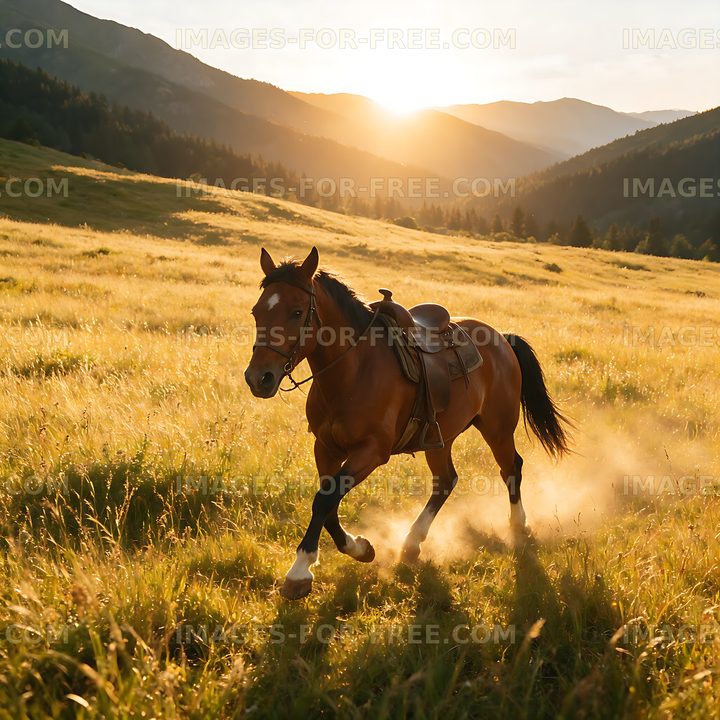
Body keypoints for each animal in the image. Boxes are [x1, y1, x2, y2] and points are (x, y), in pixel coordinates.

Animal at [244, 246, 571, 599]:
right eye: (256, 311)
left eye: (296, 312)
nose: (258, 378)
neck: (353, 370)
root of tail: (502, 338)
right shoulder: (326, 447)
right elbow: (327, 503)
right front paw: (361, 548)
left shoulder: (372, 451)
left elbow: (325, 499)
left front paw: (300, 571)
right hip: (440, 437)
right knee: (446, 481)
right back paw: (412, 544)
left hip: (497, 429)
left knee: (511, 468)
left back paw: (518, 527)